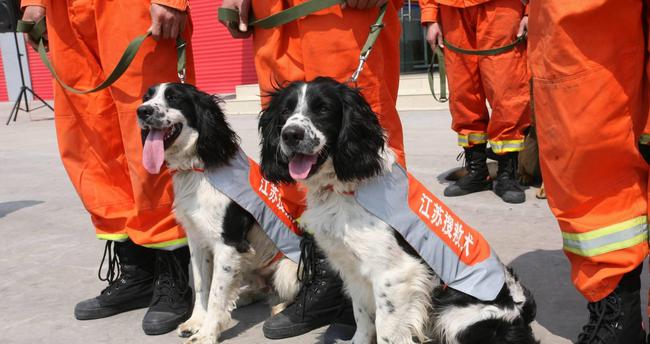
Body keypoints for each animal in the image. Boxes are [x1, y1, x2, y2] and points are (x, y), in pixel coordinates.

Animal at [138, 83, 300, 344]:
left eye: (173, 98)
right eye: (147, 97)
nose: (141, 111)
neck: (197, 169)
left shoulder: (228, 244)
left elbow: (216, 292)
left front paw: (207, 333)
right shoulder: (197, 240)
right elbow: (203, 285)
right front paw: (195, 322)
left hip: (287, 270)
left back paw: (282, 307)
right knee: (260, 289)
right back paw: (244, 297)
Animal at [256, 78, 536, 344]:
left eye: (323, 109)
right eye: (285, 111)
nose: (290, 135)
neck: (344, 187)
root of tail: (521, 310)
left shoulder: (395, 275)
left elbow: (386, 330)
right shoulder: (354, 273)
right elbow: (362, 317)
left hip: (454, 316)